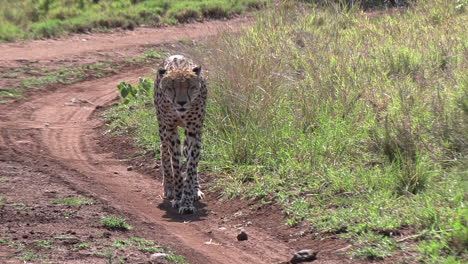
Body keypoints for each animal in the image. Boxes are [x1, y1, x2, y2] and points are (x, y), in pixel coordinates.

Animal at [154, 54, 207, 213]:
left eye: (191, 87)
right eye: (171, 88)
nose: (182, 102)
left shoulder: (194, 130)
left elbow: (191, 165)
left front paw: (187, 200)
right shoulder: (171, 130)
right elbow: (176, 166)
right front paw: (178, 197)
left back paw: (195, 190)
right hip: (162, 128)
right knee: (164, 151)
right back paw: (169, 187)